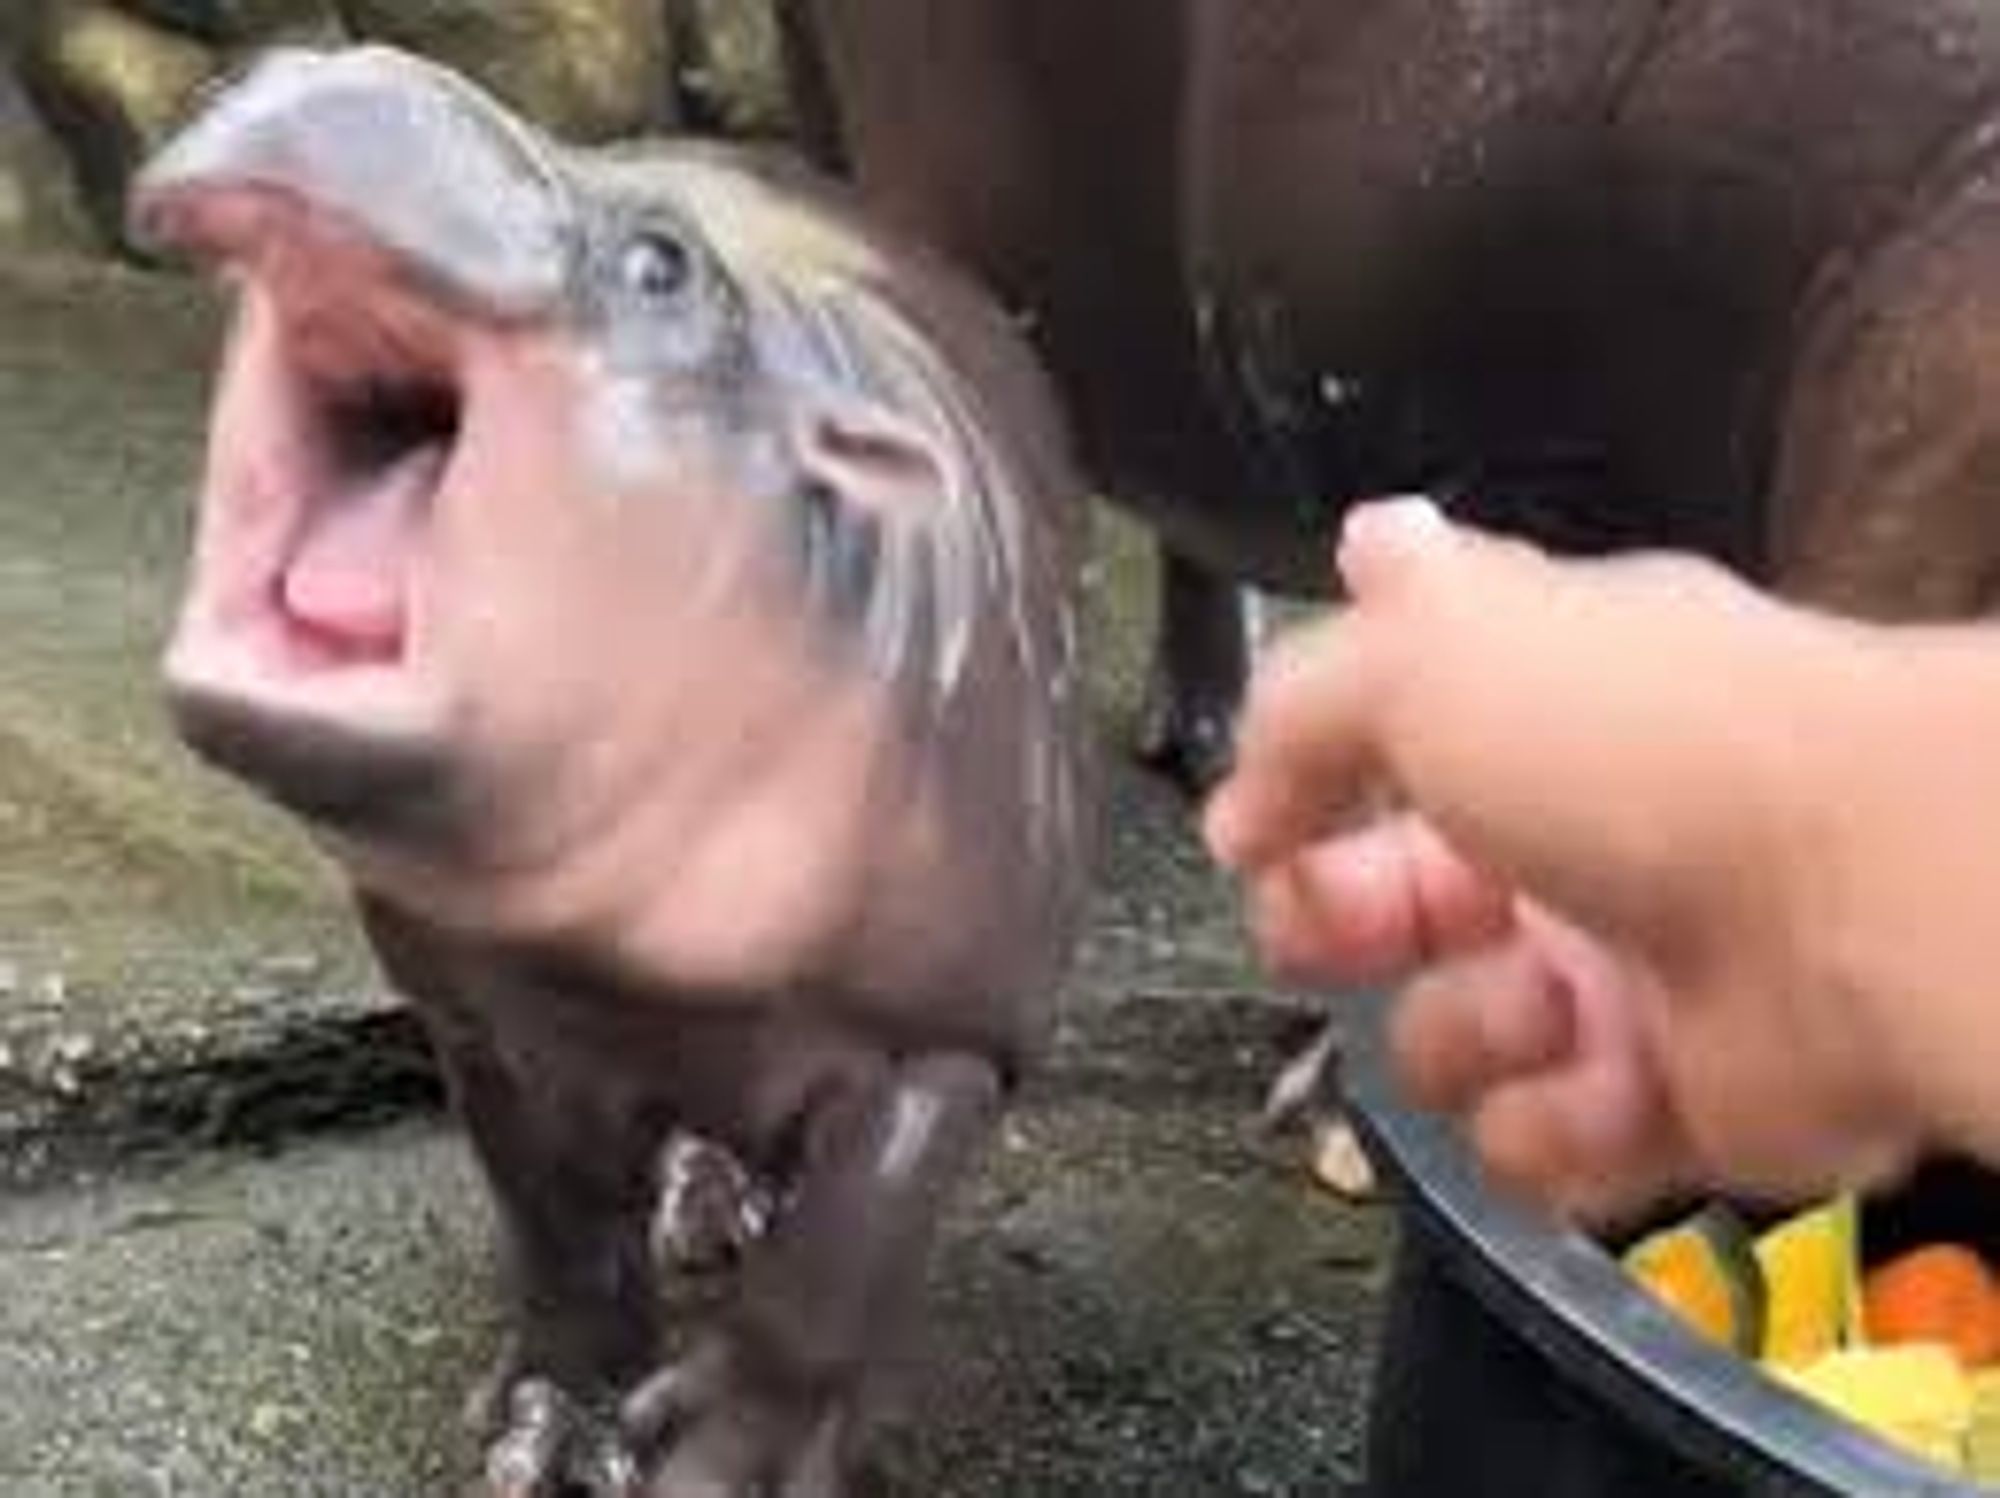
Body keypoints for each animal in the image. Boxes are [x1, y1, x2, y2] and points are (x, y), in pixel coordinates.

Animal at [125, 46, 1096, 1496]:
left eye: (659, 263)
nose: (345, 65)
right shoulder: (487, 1017)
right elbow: (559, 1234)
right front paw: (545, 1429)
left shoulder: (942, 1041)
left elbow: (832, 1270)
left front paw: (718, 1462)